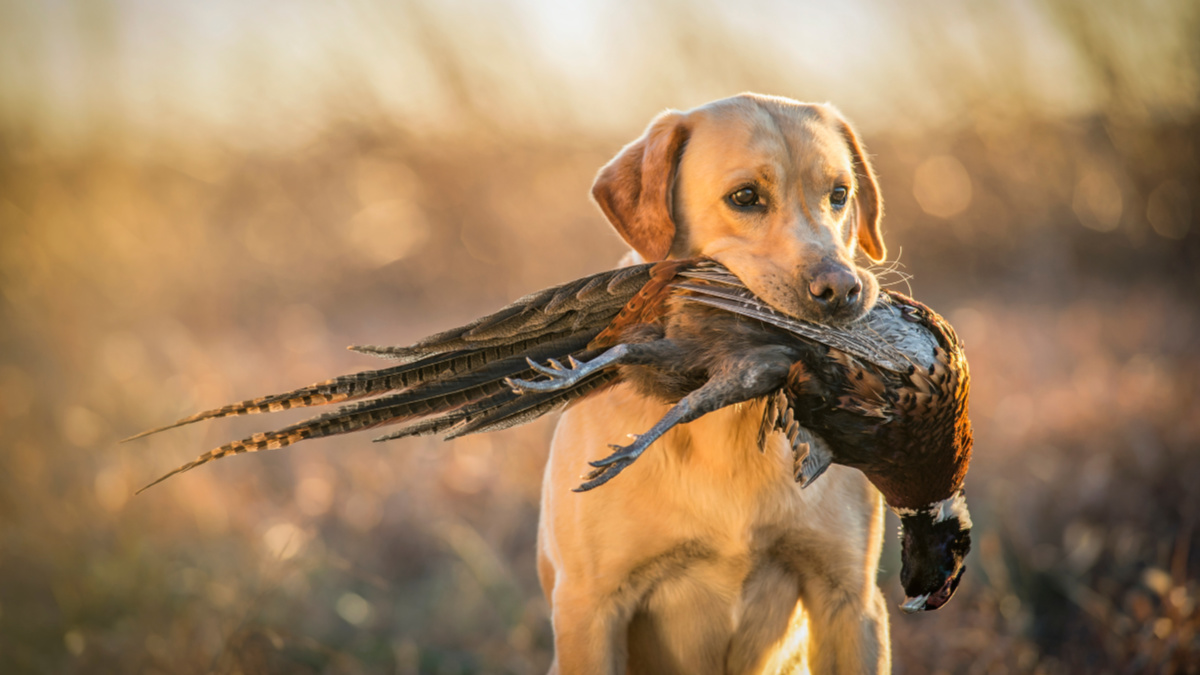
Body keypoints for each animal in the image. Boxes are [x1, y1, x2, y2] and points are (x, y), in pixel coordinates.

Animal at [535, 91, 892, 667]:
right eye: (745, 196)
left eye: (840, 194)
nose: (843, 290)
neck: (730, 432)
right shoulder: (589, 609)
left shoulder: (850, 600)